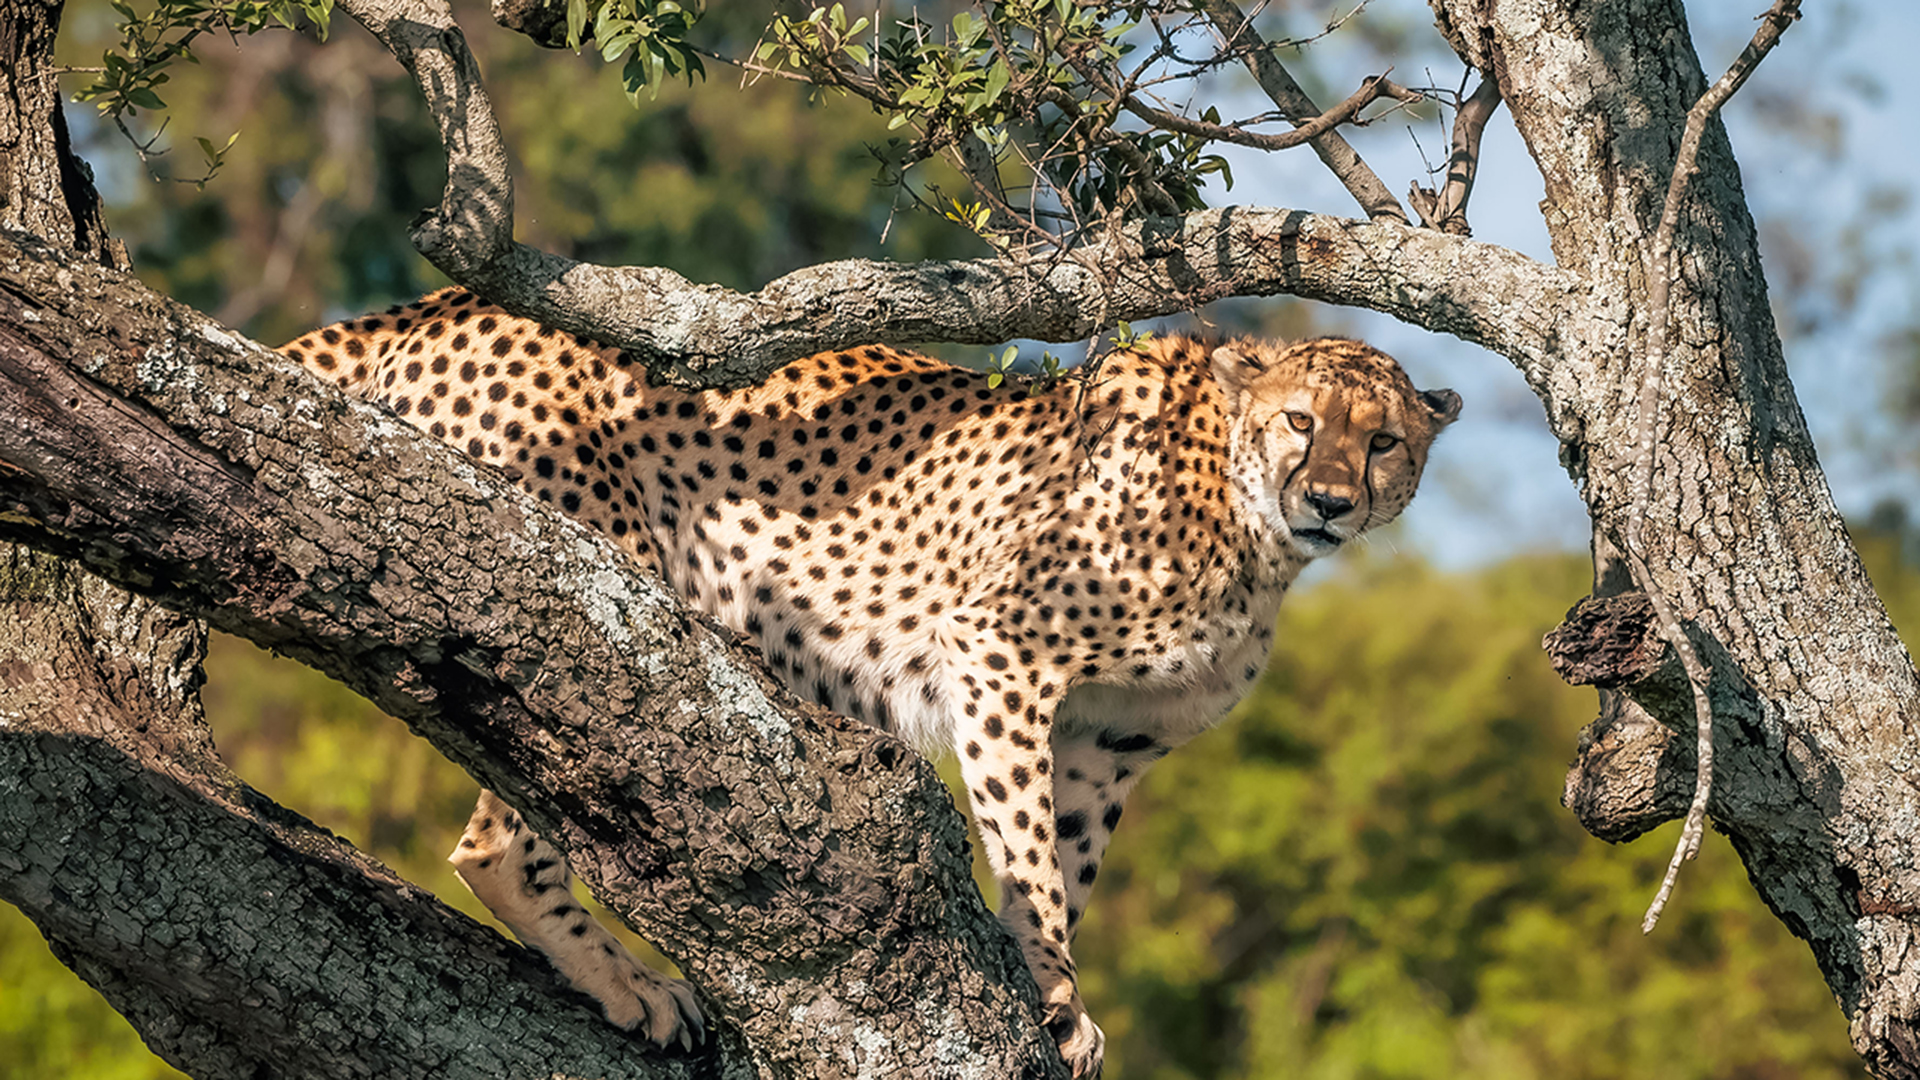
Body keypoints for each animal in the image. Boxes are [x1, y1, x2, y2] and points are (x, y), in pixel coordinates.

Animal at [280, 288, 1459, 1077]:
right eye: (1302, 422)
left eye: (1383, 442)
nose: (1330, 501)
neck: (1250, 524)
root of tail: (445, 297)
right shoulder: (1001, 652)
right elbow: (1031, 855)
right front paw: (1053, 988)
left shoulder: (1110, 739)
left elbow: (1069, 858)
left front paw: (1051, 990)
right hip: (576, 575)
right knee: (497, 838)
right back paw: (637, 987)